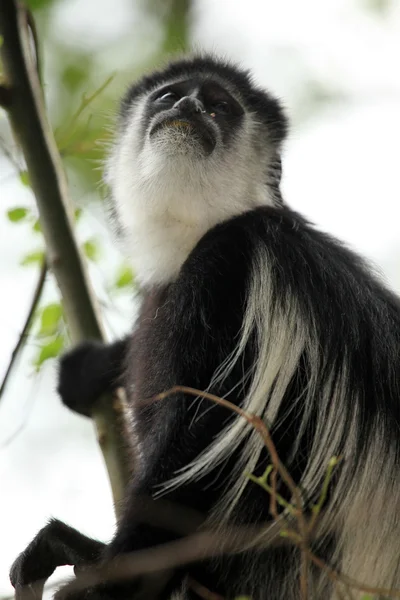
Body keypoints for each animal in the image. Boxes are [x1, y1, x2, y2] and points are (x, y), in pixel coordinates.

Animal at [9, 54, 400, 596]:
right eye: (170, 96)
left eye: (218, 106)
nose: (189, 107)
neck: (199, 230)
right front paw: (88, 370)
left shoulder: (234, 265)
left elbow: (197, 453)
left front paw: (103, 571)